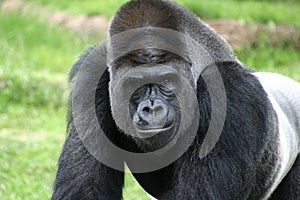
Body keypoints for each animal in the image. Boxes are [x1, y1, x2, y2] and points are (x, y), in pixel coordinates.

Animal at [52, 0, 300, 200]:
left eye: (166, 80)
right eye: (135, 86)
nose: (151, 109)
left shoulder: (232, 93)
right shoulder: (91, 78)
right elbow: (85, 190)